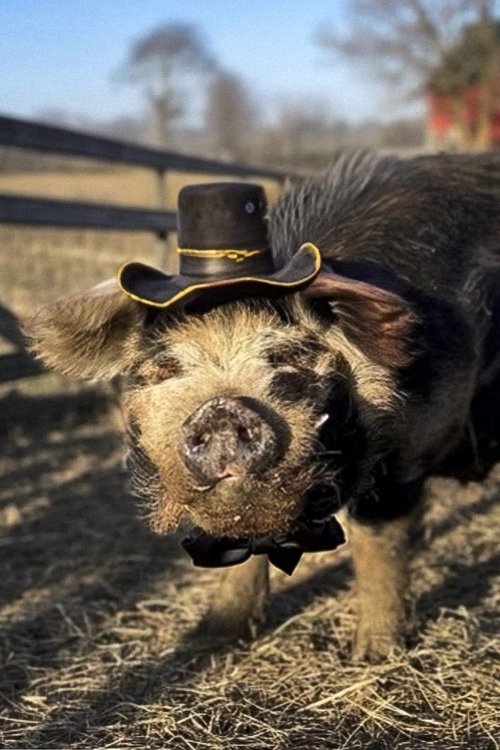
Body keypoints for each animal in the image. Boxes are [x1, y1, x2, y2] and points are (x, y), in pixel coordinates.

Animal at [25, 151, 500, 660]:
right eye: (167, 366)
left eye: (288, 354)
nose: (221, 410)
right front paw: (209, 638)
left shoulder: (406, 451)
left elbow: (377, 543)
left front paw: (373, 655)